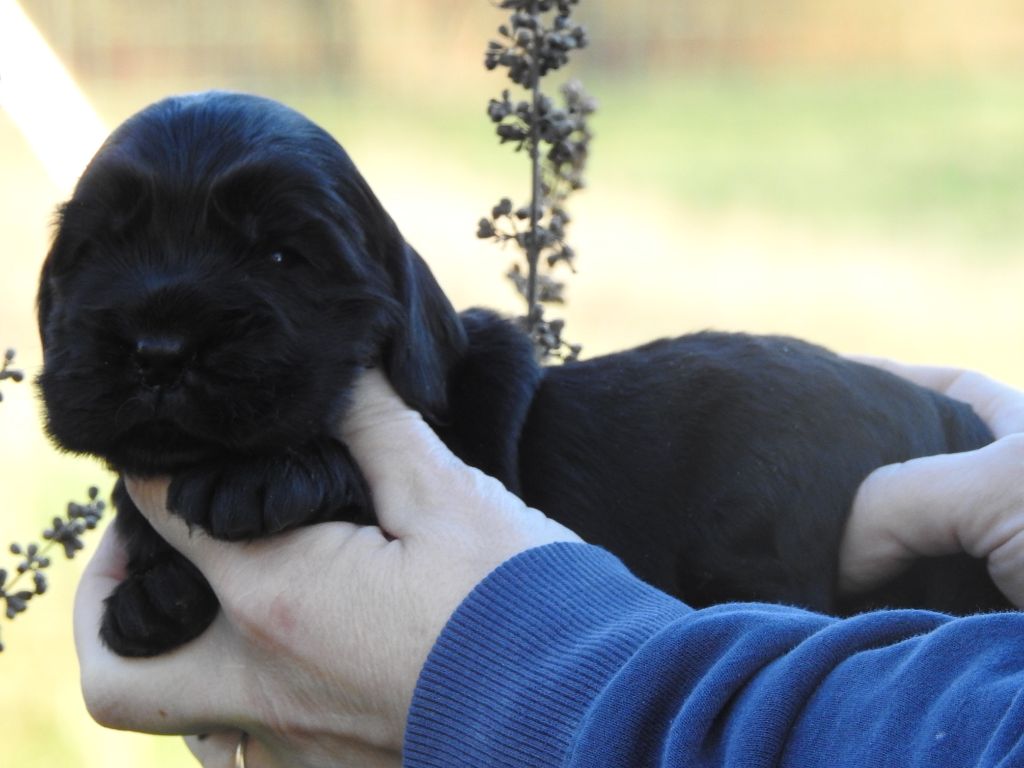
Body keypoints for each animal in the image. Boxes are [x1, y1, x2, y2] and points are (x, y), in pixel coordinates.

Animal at [36, 90, 1003, 655]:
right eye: (99, 253)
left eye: (280, 256)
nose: (160, 346)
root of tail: (939, 415)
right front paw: (155, 595)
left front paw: (261, 478)